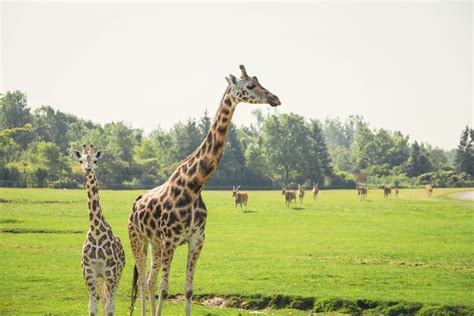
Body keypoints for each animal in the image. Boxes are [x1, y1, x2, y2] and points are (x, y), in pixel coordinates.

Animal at [72, 144, 126, 314]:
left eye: (95, 160)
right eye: (81, 160)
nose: (88, 169)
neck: (96, 232)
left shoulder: (110, 271)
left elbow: (109, 308)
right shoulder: (89, 271)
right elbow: (93, 308)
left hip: (116, 274)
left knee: (110, 302)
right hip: (100, 277)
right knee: (102, 300)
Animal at [128, 65, 280, 316]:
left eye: (260, 82)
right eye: (250, 86)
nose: (275, 98)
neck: (195, 185)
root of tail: (136, 202)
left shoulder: (197, 239)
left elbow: (188, 290)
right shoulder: (171, 240)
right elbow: (164, 290)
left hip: (154, 243)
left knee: (149, 280)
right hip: (137, 238)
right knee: (142, 281)